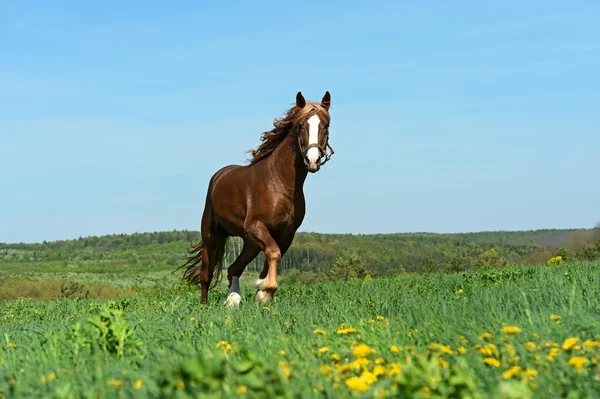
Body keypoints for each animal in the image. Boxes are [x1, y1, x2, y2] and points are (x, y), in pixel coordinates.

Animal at [180, 91, 336, 306]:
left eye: (326, 125)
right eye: (300, 125)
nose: (312, 160)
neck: (279, 183)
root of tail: (219, 175)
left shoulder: (285, 234)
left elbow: (272, 258)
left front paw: (262, 294)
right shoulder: (256, 227)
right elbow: (273, 253)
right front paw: (266, 290)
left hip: (249, 242)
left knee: (233, 268)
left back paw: (233, 301)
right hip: (212, 235)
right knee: (207, 273)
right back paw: (206, 304)